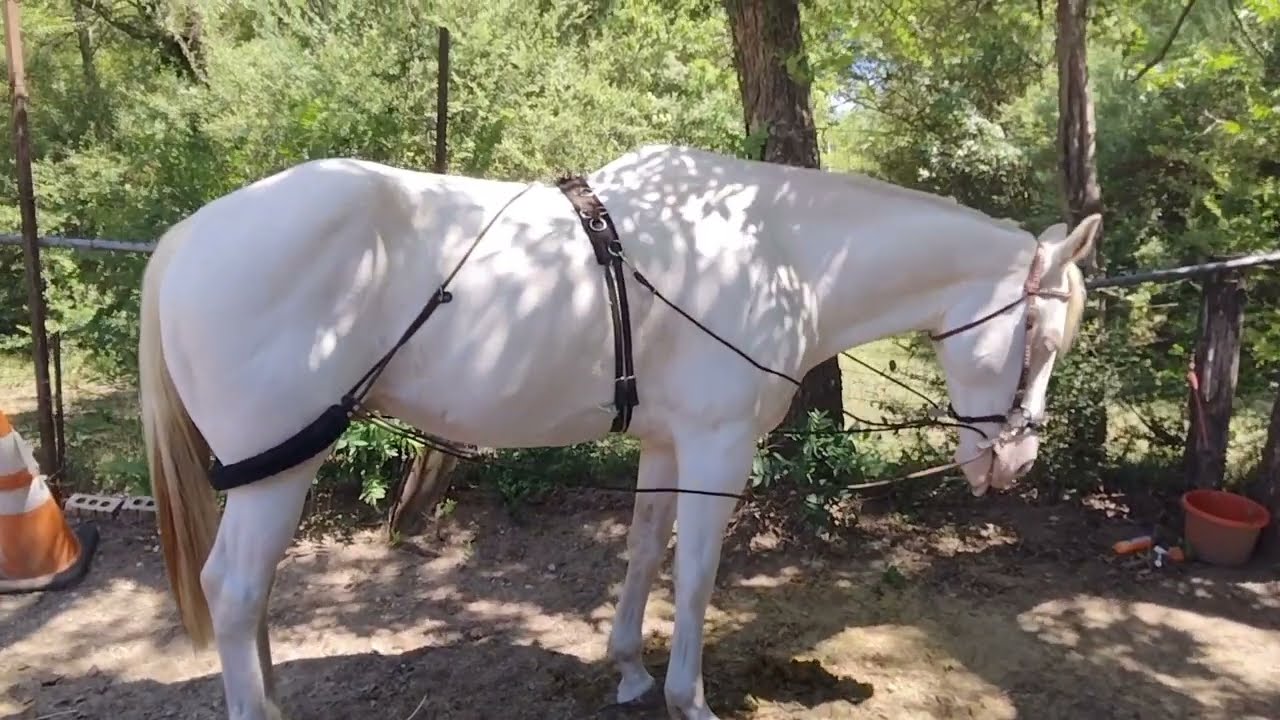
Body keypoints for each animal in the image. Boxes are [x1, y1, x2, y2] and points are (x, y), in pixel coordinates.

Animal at [138, 143, 1099, 720]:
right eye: (1039, 339)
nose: (1017, 457)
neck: (777, 249)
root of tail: (188, 236)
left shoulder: (667, 444)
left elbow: (642, 552)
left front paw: (630, 669)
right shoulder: (718, 447)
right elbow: (699, 574)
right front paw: (687, 697)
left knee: (253, 596)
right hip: (277, 469)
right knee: (233, 590)